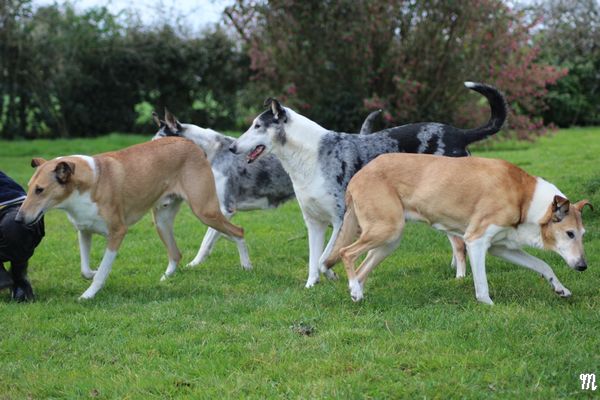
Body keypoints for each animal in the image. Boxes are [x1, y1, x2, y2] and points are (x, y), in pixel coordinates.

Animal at [14, 139, 244, 298]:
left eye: (40, 190)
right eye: (29, 187)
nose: (18, 219)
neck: (88, 183)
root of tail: (193, 145)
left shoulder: (117, 233)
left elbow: (102, 271)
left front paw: (88, 294)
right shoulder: (84, 230)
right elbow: (85, 269)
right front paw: (92, 273)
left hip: (204, 210)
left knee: (238, 231)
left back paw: (246, 267)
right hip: (162, 221)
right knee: (176, 253)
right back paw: (165, 278)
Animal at [152, 109, 378, 268]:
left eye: (160, 142)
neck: (210, 152)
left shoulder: (223, 208)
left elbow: (207, 240)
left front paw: (194, 263)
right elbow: (217, 236)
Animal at [230, 82, 506, 288]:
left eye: (258, 126)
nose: (232, 147)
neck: (310, 157)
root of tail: (459, 133)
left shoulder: (340, 218)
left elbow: (323, 257)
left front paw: (332, 273)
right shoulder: (314, 222)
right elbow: (312, 260)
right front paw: (311, 285)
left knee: (460, 244)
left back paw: (460, 276)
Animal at [324, 153, 592, 304]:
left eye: (582, 235)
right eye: (569, 234)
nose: (583, 267)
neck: (525, 199)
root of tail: (358, 174)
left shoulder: (501, 247)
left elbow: (543, 265)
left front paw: (561, 289)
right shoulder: (476, 241)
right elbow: (481, 284)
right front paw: (488, 306)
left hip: (389, 240)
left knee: (361, 269)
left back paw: (356, 294)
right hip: (386, 229)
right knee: (346, 253)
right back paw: (355, 290)